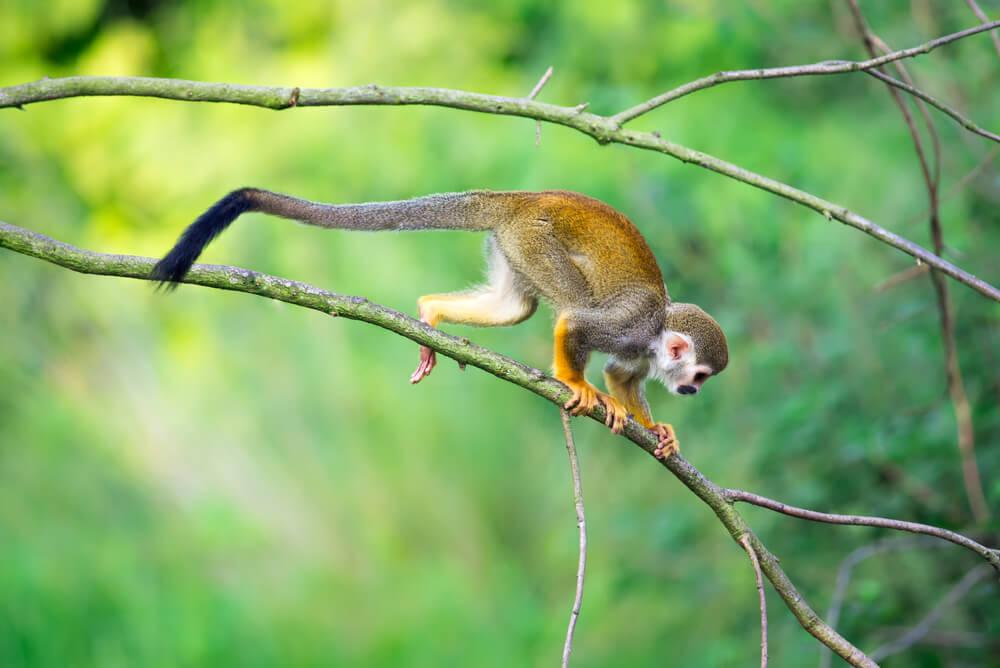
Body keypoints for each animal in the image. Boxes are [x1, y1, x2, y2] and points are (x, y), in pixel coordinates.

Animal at [152, 188, 728, 458]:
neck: (656, 334)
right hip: (535, 238)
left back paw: (430, 312)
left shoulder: (639, 350)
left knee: (515, 307)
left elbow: (621, 375)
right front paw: (577, 384)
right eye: (700, 375)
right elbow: (579, 328)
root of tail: (522, 198)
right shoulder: (632, 325)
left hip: (514, 244)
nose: (695, 392)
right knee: (566, 305)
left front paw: (656, 428)